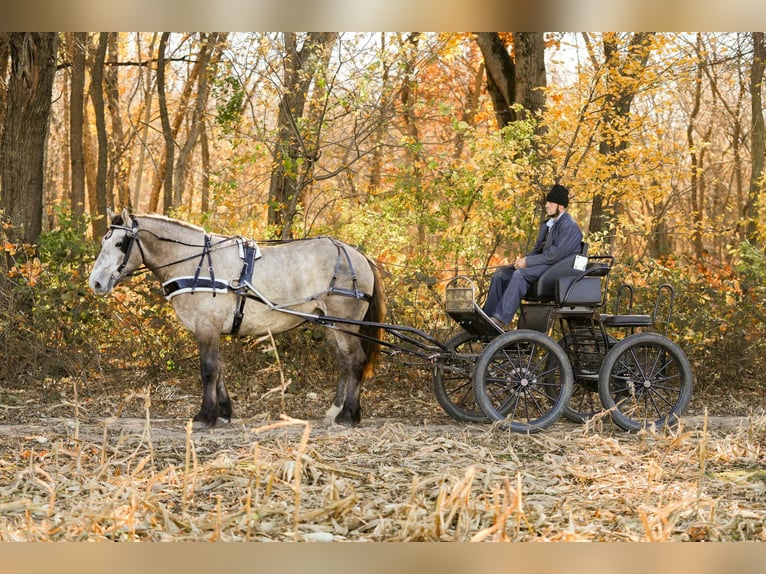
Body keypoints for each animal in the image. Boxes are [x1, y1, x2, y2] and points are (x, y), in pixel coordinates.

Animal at [88, 208, 385, 427]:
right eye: (105, 241)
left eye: (120, 243)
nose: (96, 283)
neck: (193, 260)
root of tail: (359, 255)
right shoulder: (209, 329)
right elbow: (218, 369)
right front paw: (223, 412)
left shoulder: (206, 327)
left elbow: (208, 370)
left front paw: (205, 415)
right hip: (331, 324)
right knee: (345, 363)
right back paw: (335, 412)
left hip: (344, 322)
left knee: (356, 361)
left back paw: (348, 415)